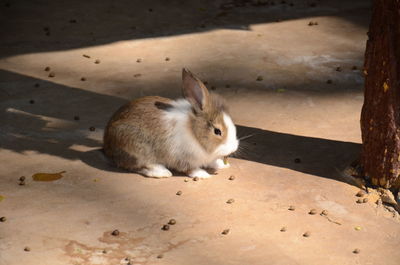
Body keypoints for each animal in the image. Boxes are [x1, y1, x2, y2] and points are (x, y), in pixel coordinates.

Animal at [103, 67, 239, 177]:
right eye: (217, 131)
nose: (233, 147)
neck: (193, 131)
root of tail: (107, 145)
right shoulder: (182, 158)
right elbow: (190, 169)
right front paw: (203, 175)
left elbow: (212, 162)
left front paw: (223, 165)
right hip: (137, 149)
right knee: (138, 166)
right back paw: (162, 172)